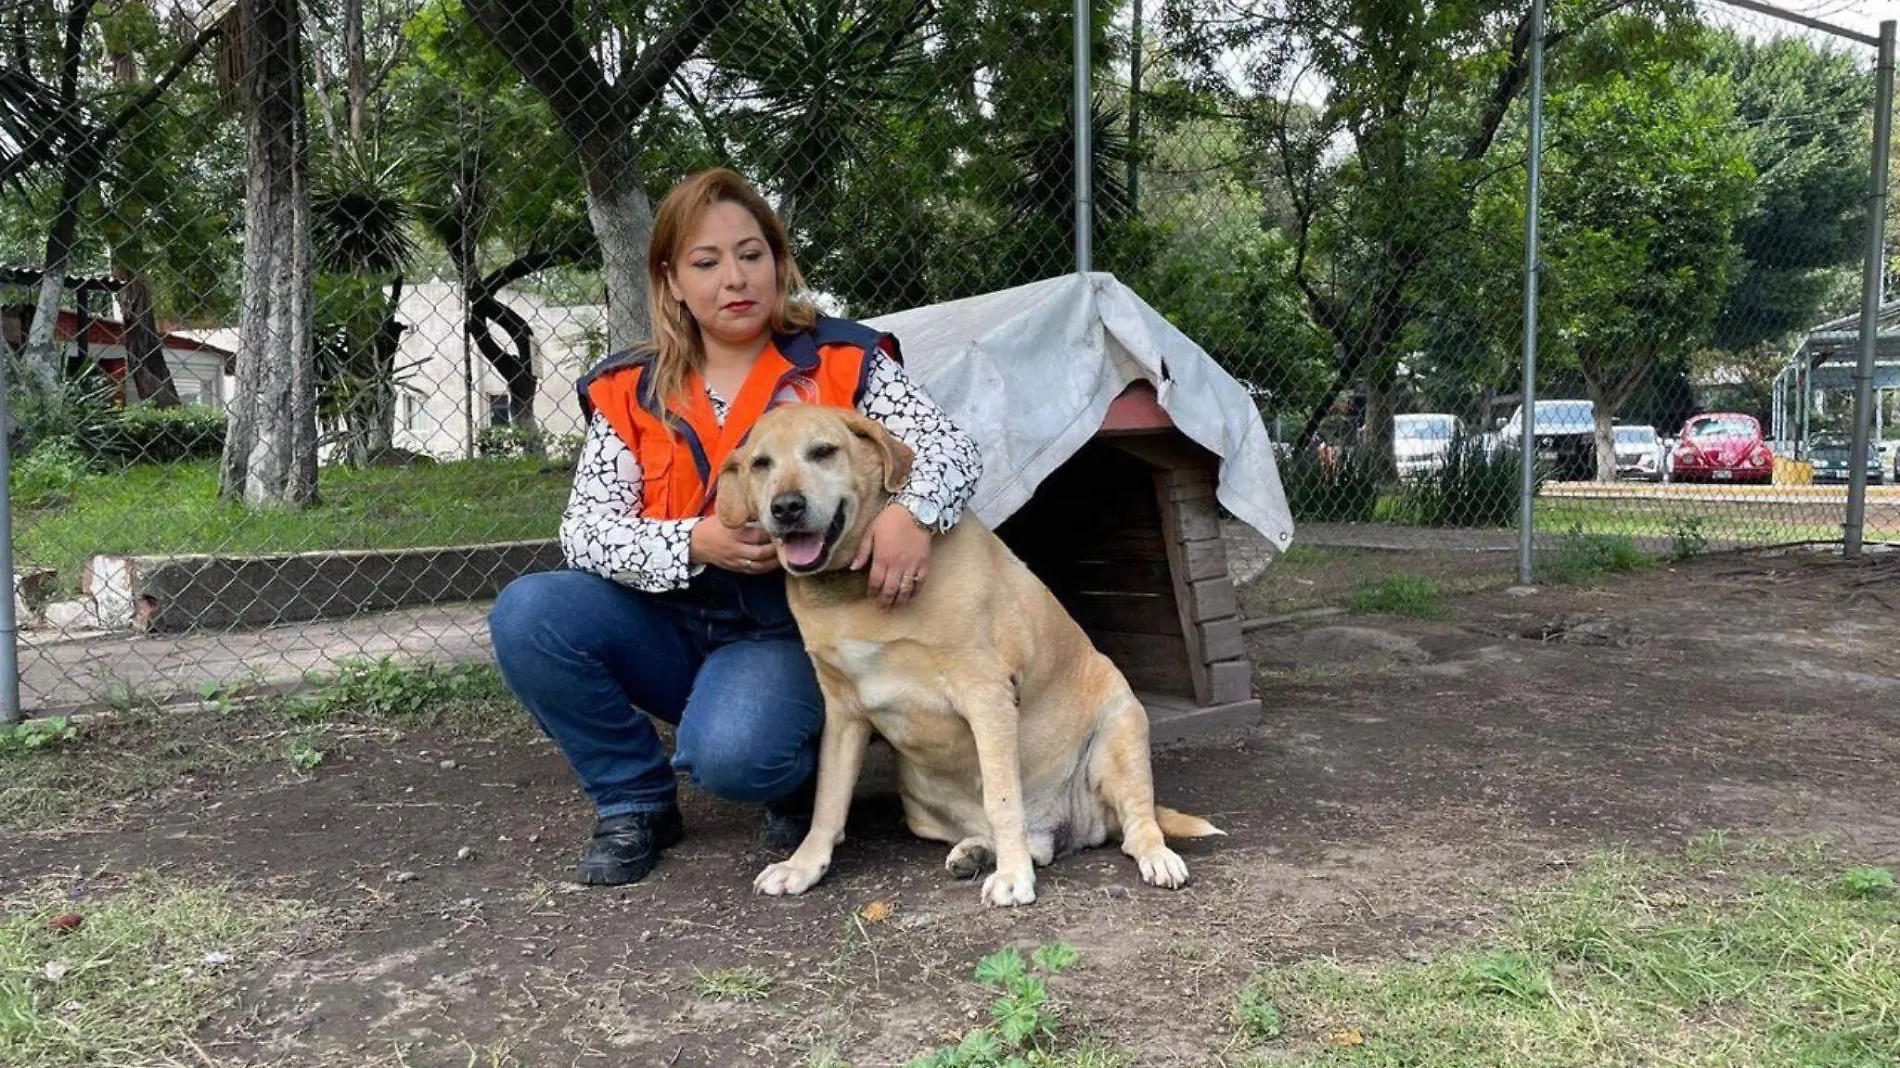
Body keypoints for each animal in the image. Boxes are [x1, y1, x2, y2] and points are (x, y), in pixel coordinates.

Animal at [710, 402, 1216, 900]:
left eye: (822, 451)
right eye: (761, 464)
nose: (786, 507)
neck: (852, 591)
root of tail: (1073, 825)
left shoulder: (986, 695)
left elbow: (1003, 799)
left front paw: (1013, 877)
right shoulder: (842, 713)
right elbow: (828, 804)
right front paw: (803, 866)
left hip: (1121, 724)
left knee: (1136, 824)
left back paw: (1152, 856)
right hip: (918, 805)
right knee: (1034, 844)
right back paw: (978, 851)